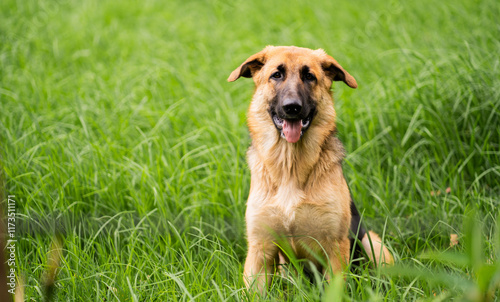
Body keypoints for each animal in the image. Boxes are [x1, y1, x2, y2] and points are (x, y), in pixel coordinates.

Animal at [228, 45, 394, 292]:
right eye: (276, 75)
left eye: (309, 77)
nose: (292, 107)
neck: (290, 167)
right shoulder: (260, 251)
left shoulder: (335, 248)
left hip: (373, 243)